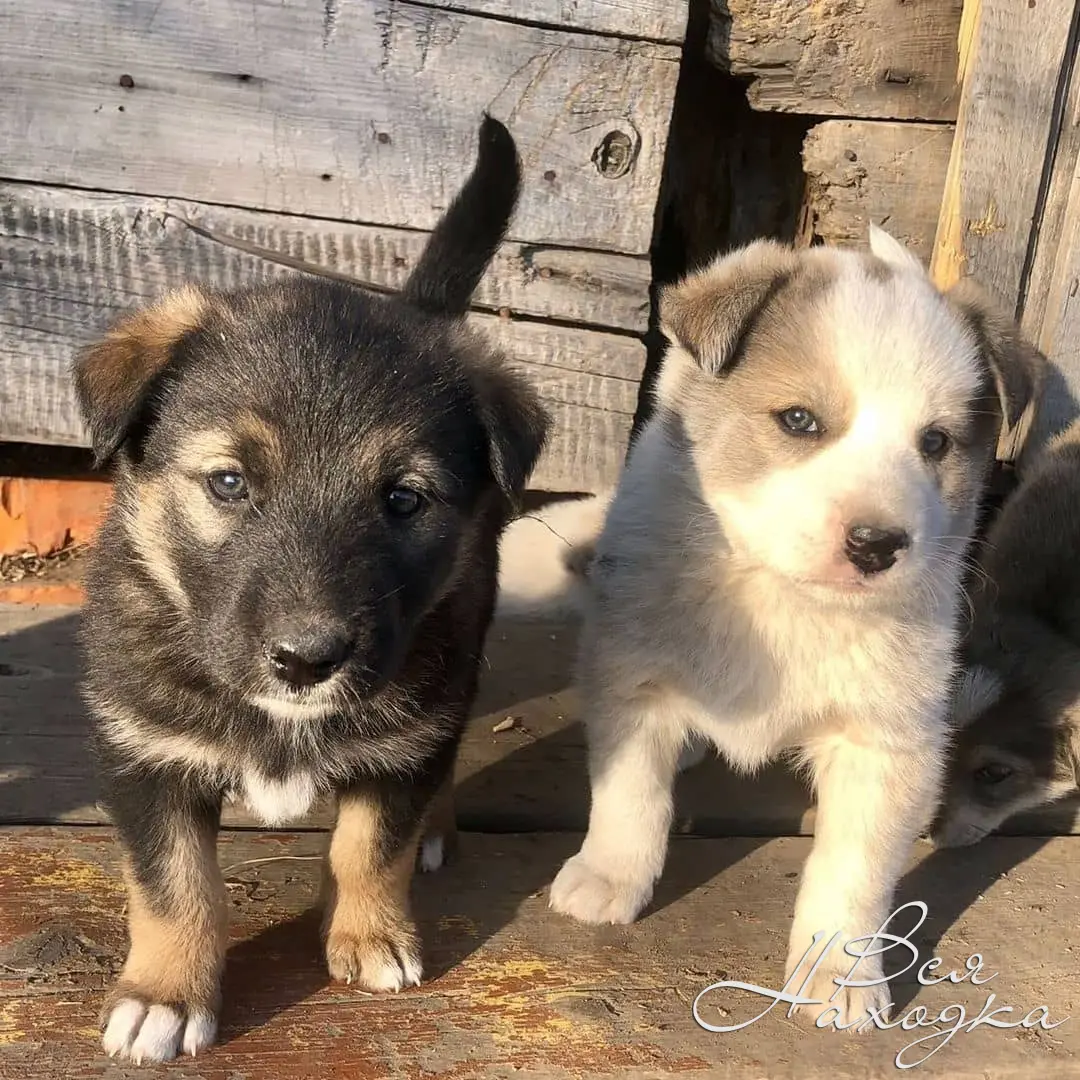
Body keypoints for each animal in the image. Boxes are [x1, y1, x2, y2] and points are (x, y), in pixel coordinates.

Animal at [73, 116, 548, 1062]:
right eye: (228, 483)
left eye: (404, 499)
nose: (306, 660)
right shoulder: (144, 754)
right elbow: (174, 885)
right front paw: (164, 996)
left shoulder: (406, 734)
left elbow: (371, 843)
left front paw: (370, 935)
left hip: (456, 658)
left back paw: (436, 831)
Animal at [548, 232, 1045, 1023]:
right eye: (800, 421)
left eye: (936, 443)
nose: (876, 545)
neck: (784, 597)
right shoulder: (635, 678)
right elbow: (631, 796)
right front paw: (608, 879)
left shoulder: (887, 744)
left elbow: (854, 872)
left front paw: (839, 977)